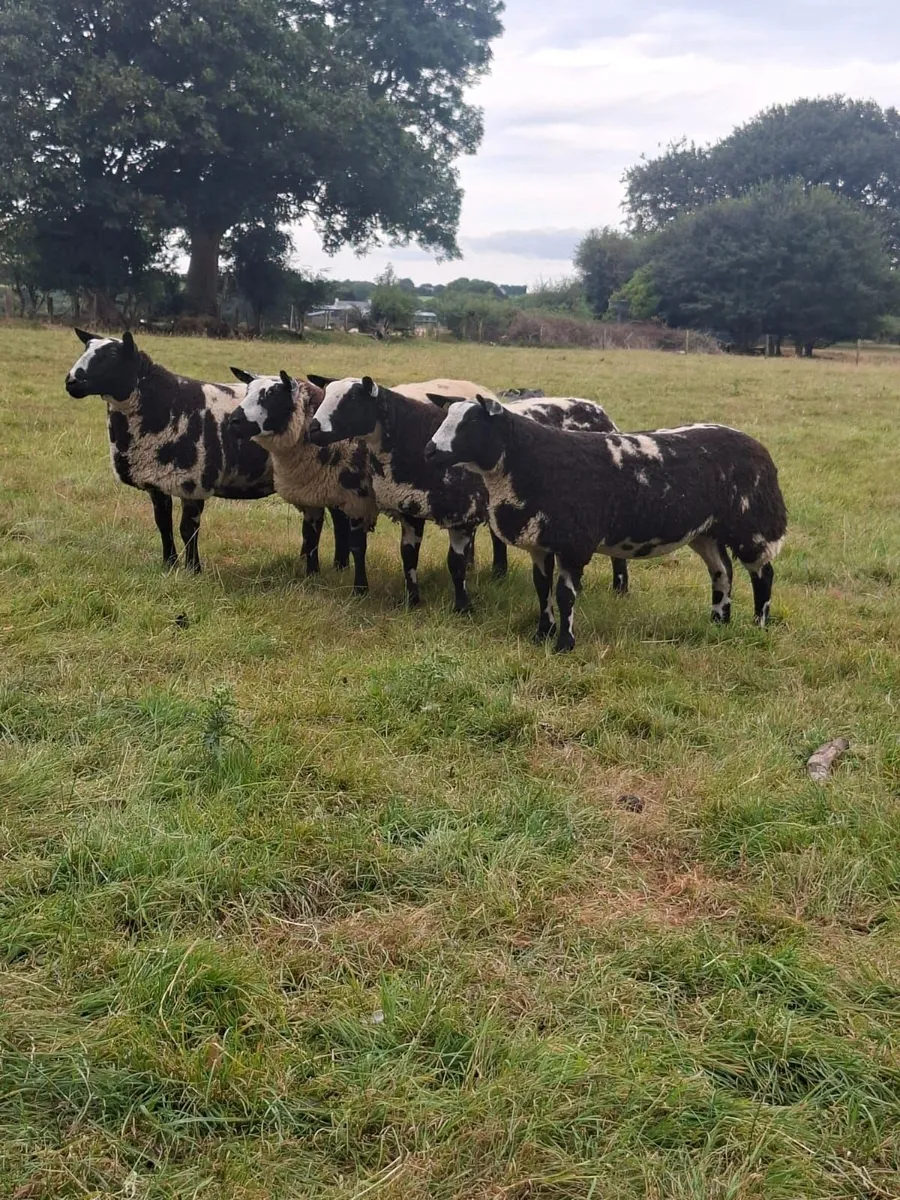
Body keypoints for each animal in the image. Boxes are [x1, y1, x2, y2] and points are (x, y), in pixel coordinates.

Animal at [63, 329, 351, 574]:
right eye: (85, 349)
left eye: (112, 356)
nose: (71, 381)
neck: (163, 403)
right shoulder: (157, 479)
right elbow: (163, 524)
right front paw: (169, 564)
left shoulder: (194, 480)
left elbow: (187, 529)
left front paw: (193, 570)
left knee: (338, 518)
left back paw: (339, 565)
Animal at [226, 369, 377, 593]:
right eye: (247, 390)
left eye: (272, 394)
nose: (233, 420)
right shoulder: (313, 495)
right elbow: (310, 535)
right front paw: (312, 575)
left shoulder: (359, 498)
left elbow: (358, 545)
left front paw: (360, 589)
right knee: (339, 525)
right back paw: (339, 566)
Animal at [423, 397, 787, 653]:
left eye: (471, 421)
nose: (429, 451)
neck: (527, 459)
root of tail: (755, 444)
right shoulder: (541, 541)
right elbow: (541, 589)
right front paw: (542, 634)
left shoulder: (573, 541)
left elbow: (565, 595)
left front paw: (564, 645)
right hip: (706, 530)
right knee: (722, 571)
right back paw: (718, 623)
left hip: (753, 523)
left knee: (763, 573)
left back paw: (758, 625)